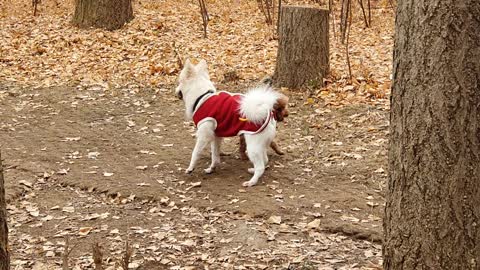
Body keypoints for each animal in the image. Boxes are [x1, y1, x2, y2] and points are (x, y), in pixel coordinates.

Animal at [176, 59, 282, 187]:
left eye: (179, 82)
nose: (175, 90)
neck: (202, 97)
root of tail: (268, 113)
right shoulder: (216, 136)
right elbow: (215, 156)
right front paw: (212, 168)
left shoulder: (204, 136)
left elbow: (195, 153)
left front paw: (190, 168)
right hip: (261, 144)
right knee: (265, 160)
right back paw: (252, 171)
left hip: (252, 146)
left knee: (261, 166)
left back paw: (251, 182)